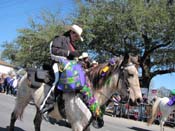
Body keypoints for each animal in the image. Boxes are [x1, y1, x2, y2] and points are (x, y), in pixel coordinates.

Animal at [8, 54, 142, 131]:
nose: (139, 100)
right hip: (22, 100)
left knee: (36, 122)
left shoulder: (86, 126)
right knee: (14, 116)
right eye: (130, 74)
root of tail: (26, 72)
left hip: (38, 107)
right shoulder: (77, 125)